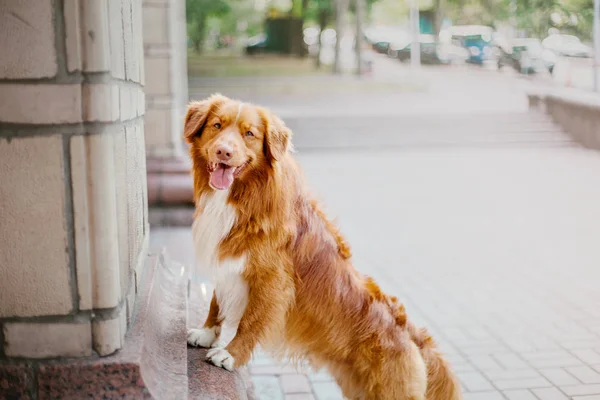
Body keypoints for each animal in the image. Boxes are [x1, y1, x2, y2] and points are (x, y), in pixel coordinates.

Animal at [185, 94, 462, 400]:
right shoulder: (229, 261)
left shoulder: (271, 280)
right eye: (217, 125)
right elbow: (215, 300)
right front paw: (207, 333)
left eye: (249, 134)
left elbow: (250, 320)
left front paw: (230, 355)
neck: (245, 197)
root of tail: (412, 332)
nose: (223, 152)